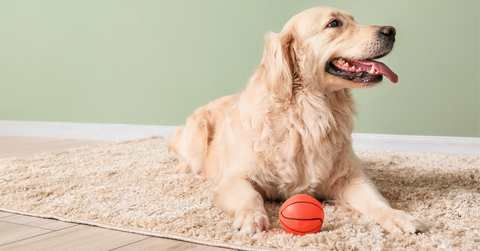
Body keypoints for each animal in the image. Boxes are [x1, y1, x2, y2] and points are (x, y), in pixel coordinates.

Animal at [168, 6, 428, 236]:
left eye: (353, 19)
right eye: (334, 23)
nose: (391, 31)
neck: (308, 115)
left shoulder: (350, 178)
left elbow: (376, 201)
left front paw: (400, 218)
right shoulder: (235, 178)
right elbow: (250, 195)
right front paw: (252, 218)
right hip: (197, 134)